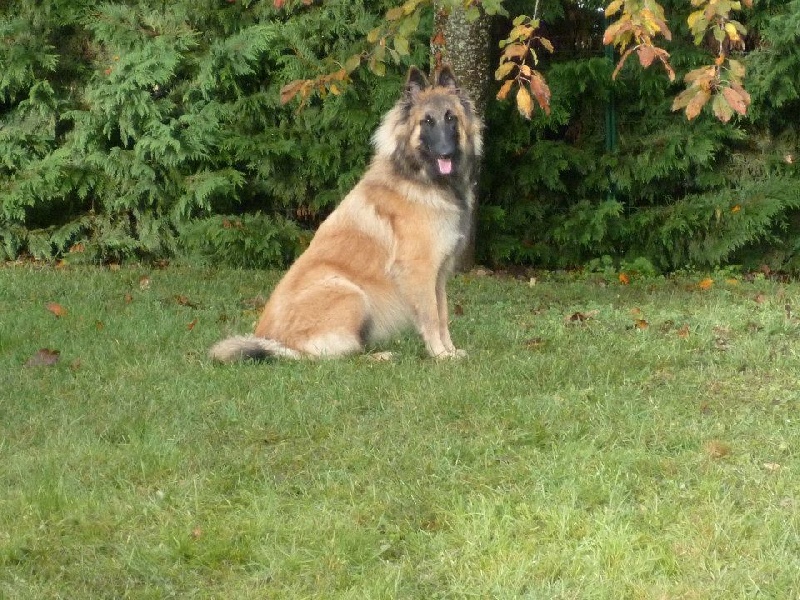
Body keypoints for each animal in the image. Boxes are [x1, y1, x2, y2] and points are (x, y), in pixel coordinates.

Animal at [209, 65, 482, 360]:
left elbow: (443, 315)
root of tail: (277, 343)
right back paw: (379, 356)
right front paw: (440, 355)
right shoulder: (419, 272)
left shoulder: (439, 275)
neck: (420, 179)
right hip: (352, 292)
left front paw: (450, 351)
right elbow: (431, 316)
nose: (446, 152)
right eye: (427, 122)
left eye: (451, 118)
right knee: (336, 356)